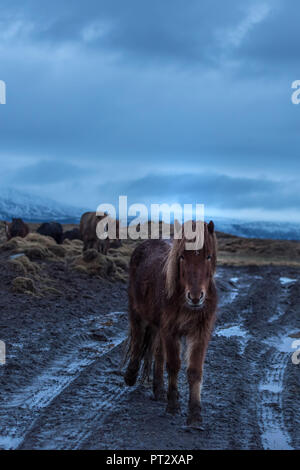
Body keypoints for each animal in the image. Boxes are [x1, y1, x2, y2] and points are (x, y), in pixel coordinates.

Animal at [124, 220, 218, 426]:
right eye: (182, 256)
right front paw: (173, 406)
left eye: (208, 256)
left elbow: (194, 370)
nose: (195, 297)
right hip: (137, 313)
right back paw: (131, 376)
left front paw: (195, 414)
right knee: (137, 341)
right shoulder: (170, 331)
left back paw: (158, 389)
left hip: (157, 327)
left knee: (157, 354)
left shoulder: (199, 333)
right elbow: (174, 365)